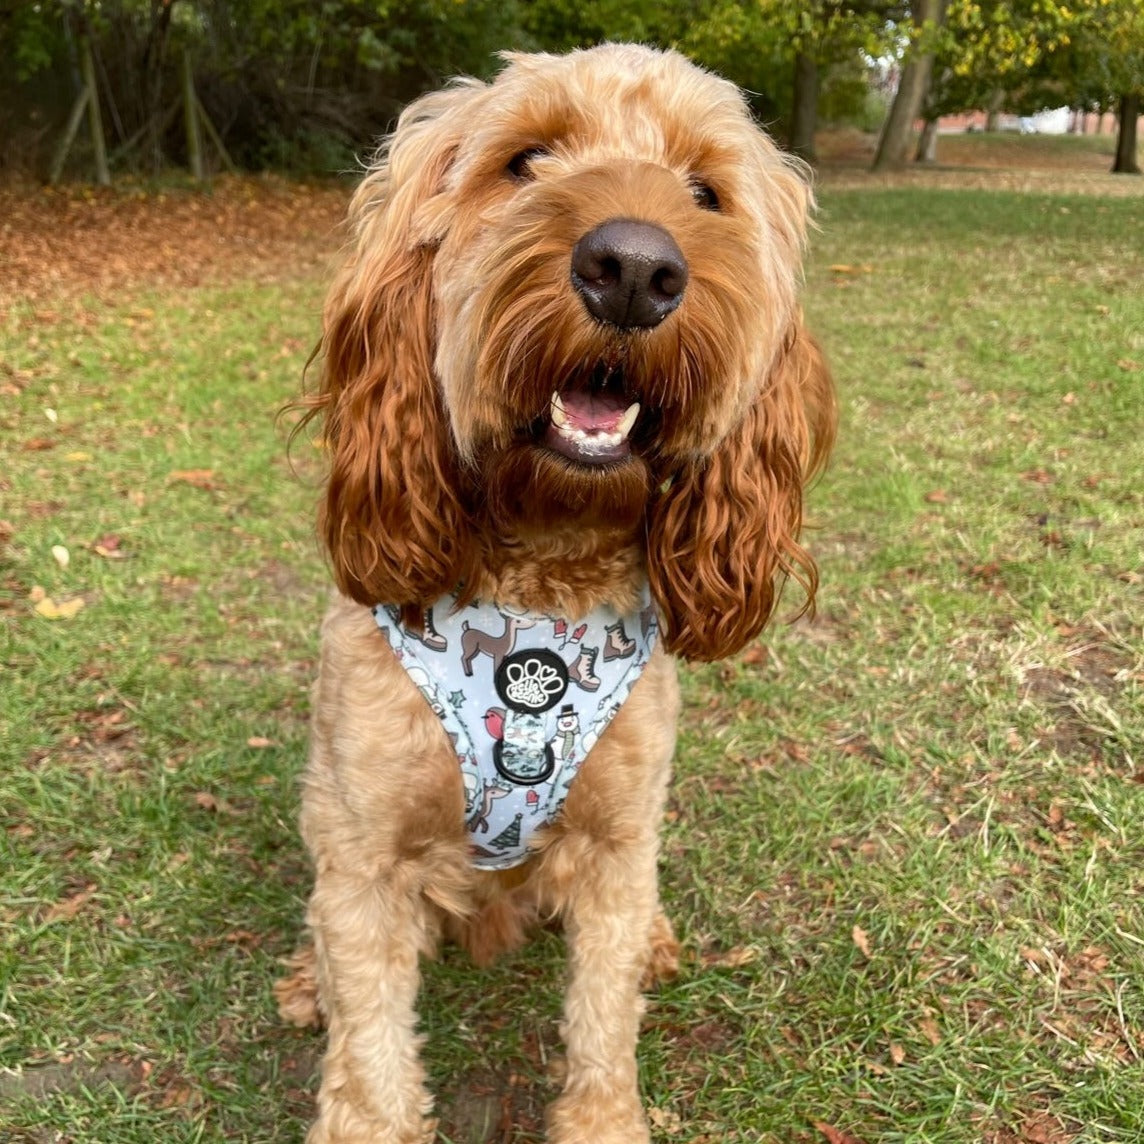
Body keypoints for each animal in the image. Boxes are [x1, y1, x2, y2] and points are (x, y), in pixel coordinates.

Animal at [273, 40, 837, 1139]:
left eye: (705, 190)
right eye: (524, 160)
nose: (635, 269)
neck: (543, 575)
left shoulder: (620, 835)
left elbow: (603, 1013)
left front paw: (603, 1112)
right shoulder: (364, 849)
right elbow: (370, 1048)